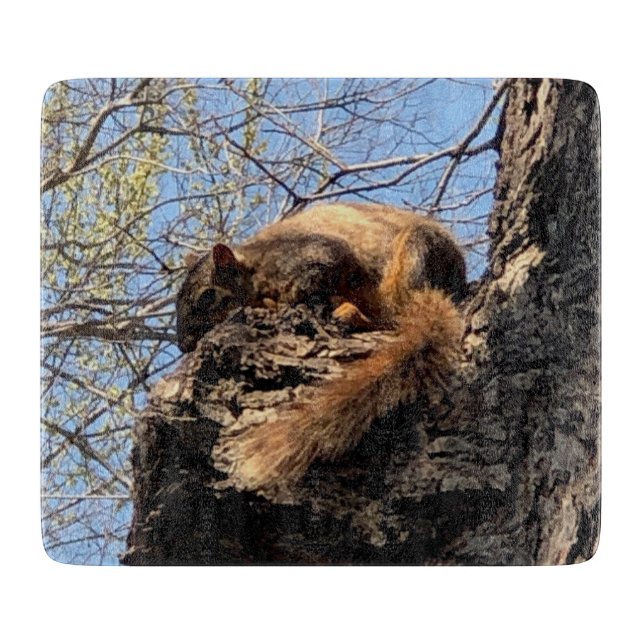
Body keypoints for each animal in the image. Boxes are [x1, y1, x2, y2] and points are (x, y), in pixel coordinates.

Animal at [176, 202, 467, 495]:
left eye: (207, 296)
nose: (183, 344)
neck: (254, 269)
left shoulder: (308, 257)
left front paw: (274, 304)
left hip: (414, 256)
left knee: (392, 314)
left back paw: (353, 314)